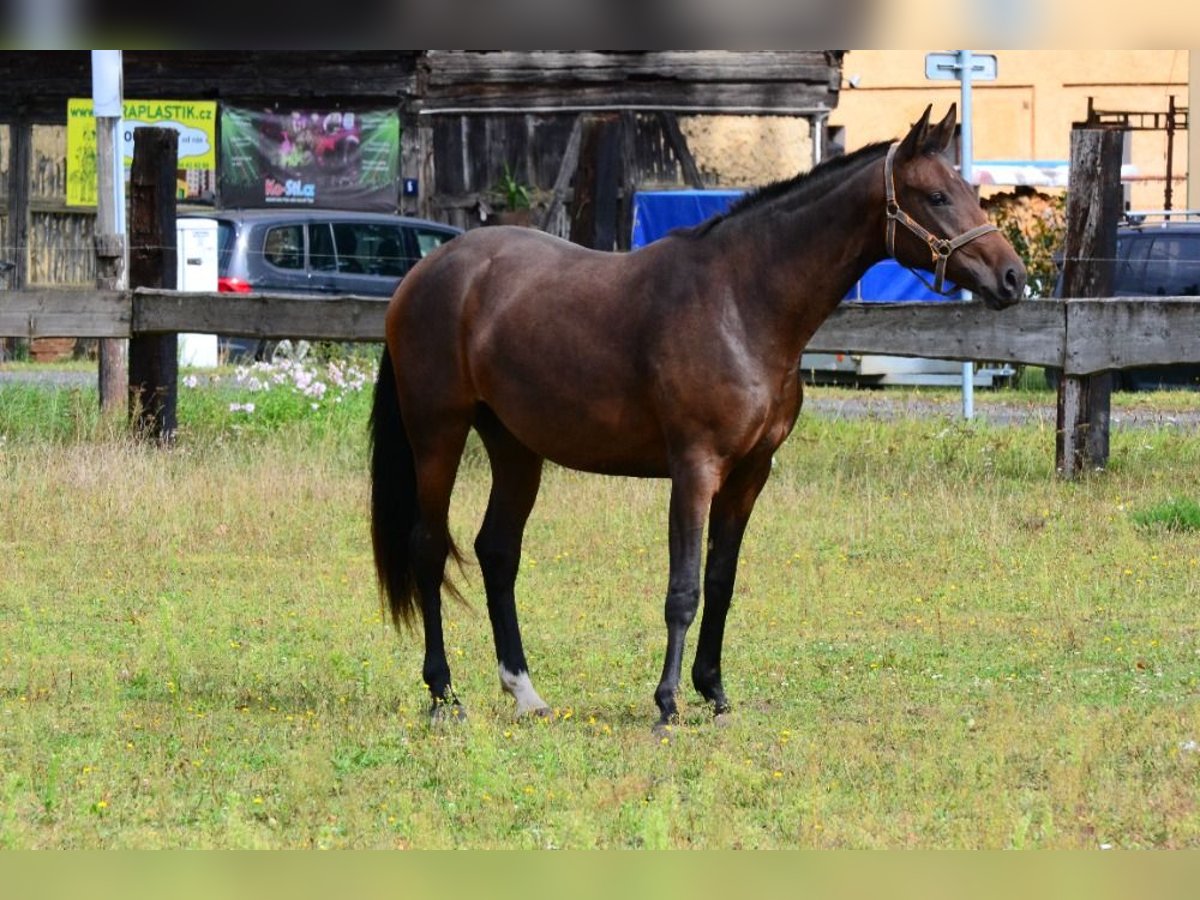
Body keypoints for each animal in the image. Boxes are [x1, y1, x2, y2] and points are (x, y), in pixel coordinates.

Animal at [369, 105, 1027, 729]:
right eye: (936, 196)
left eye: (969, 189)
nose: (1013, 277)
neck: (740, 302)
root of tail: (424, 274)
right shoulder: (695, 469)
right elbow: (682, 589)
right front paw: (666, 702)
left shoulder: (749, 475)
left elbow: (721, 582)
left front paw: (714, 692)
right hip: (438, 434)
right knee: (429, 547)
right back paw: (443, 694)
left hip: (514, 446)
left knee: (498, 551)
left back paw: (525, 692)